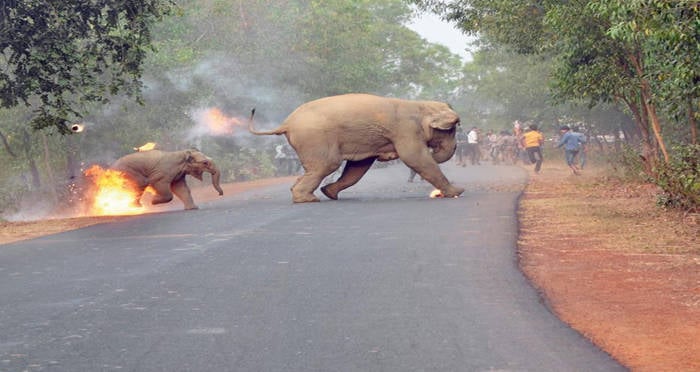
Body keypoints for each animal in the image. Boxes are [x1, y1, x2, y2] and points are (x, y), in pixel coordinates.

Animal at [250, 93, 464, 203]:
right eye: (452, 129)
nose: (436, 152)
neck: (420, 106)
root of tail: (286, 123)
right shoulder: (406, 130)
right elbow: (415, 157)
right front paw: (456, 192)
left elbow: (358, 167)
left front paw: (329, 192)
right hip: (315, 138)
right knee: (327, 165)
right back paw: (308, 199)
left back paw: (313, 194)